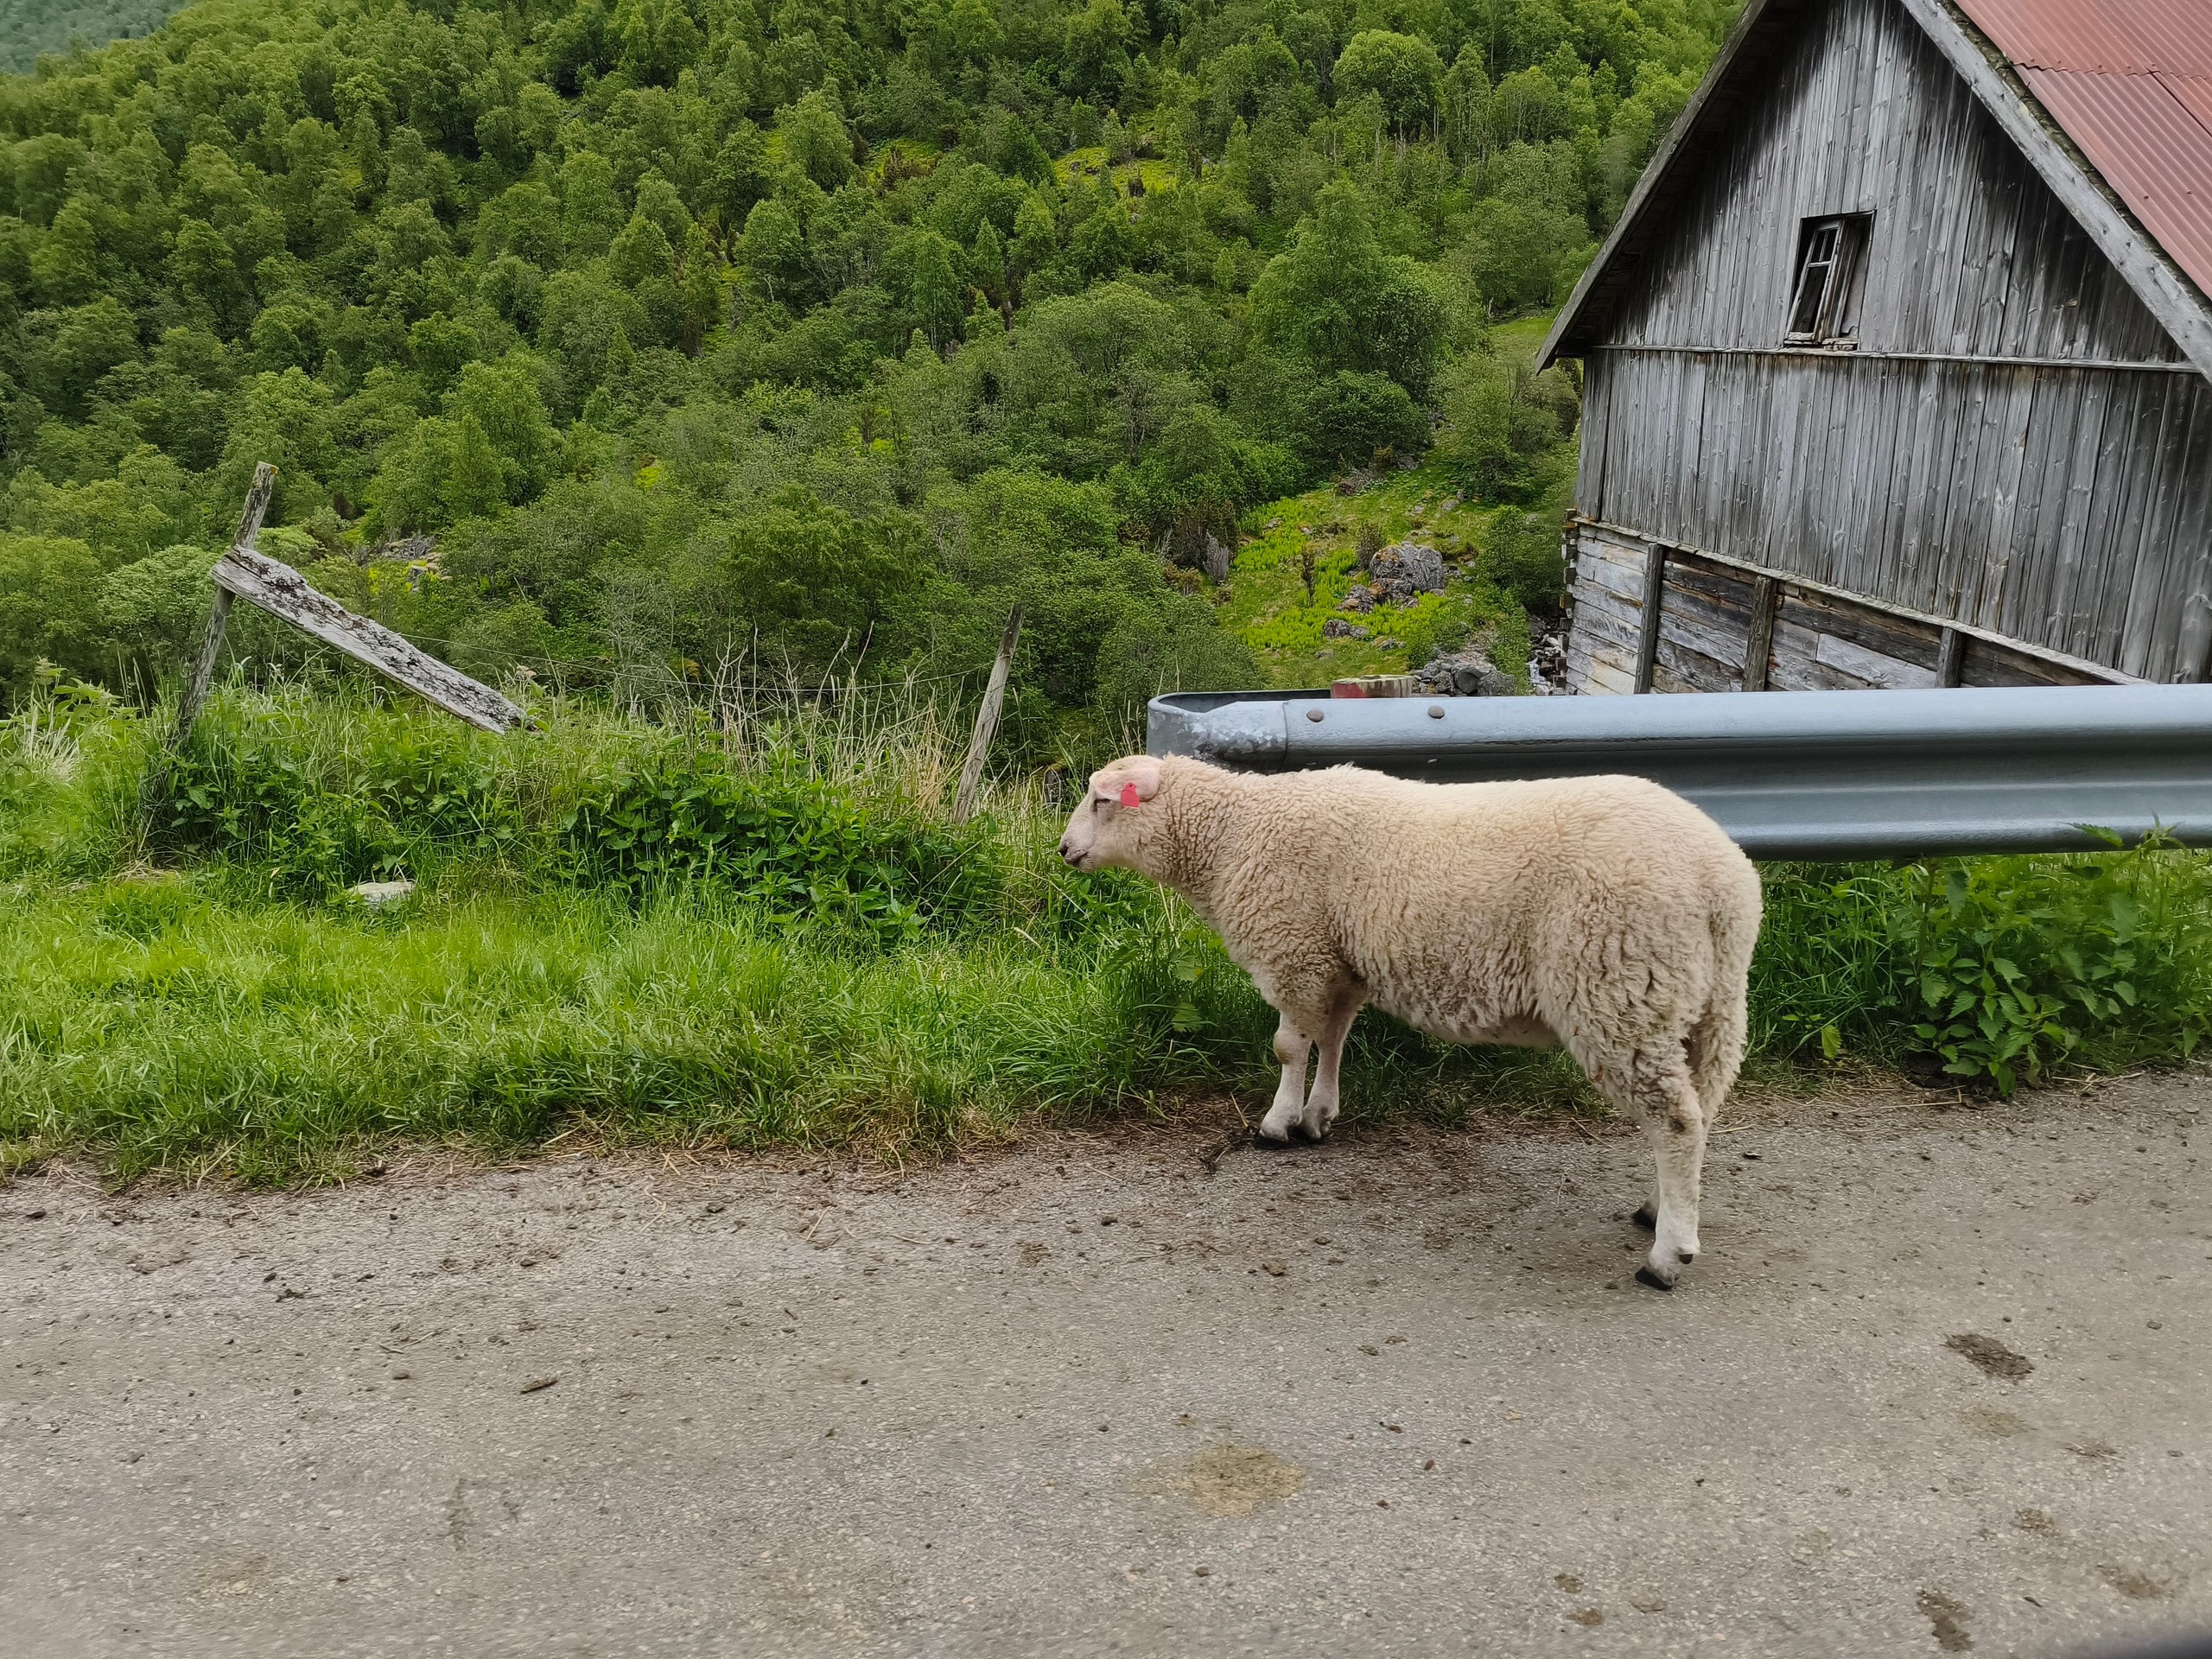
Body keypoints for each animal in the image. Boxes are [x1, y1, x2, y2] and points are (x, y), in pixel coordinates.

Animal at [1058, 753, 1763, 1290]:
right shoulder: (1337, 961)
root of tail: (1720, 879)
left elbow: (1289, 1046)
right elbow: (1333, 1040)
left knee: (1675, 1120)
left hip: (1618, 986)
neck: (1233, 833)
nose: (1064, 850)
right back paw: (1661, 1208)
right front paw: (1318, 1116)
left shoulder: (1293, 950)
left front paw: (1277, 1125)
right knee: (1701, 1106)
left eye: (1102, 801)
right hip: (1707, 1000)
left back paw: (1667, 1255)